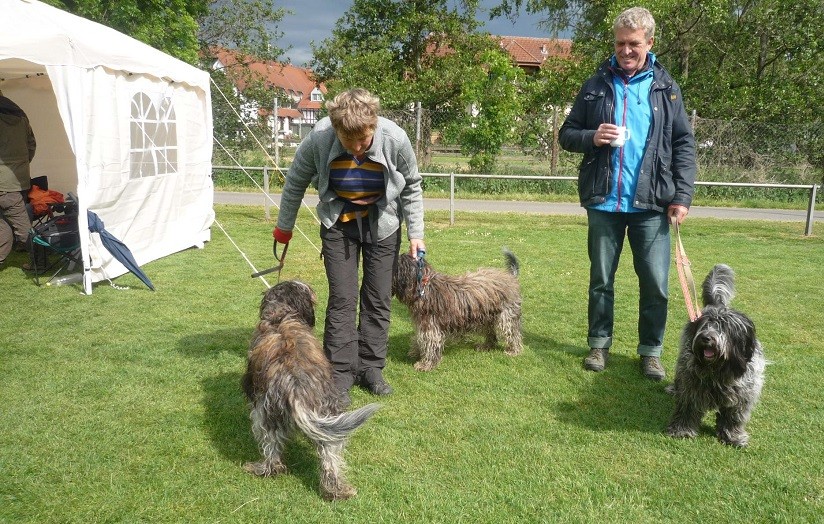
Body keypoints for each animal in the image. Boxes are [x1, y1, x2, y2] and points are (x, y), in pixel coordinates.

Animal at [238, 280, 380, 502]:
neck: (280, 315)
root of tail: (295, 385)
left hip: (265, 412)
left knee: (271, 446)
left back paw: (265, 469)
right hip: (327, 410)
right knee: (329, 454)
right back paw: (337, 491)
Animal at [392, 248, 520, 370]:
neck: (425, 287)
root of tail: (510, 276)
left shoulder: (431, 325)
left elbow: (429, 342)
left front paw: (426, 364)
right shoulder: (423, 324)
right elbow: (420, 339)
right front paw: (416, 352)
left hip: (506, 316)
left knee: (513, 333)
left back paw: (514, 350)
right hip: (486, 317)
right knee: (491, 333)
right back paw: (486, 346)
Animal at [664, 264, 768, 448]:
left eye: (724, 328)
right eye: (705, 325)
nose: (706, 338)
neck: (718, 368)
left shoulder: (742, 395)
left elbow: (734, 418)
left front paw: (733, 437)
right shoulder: (692, 388)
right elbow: (687, 409)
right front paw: (682, 430)